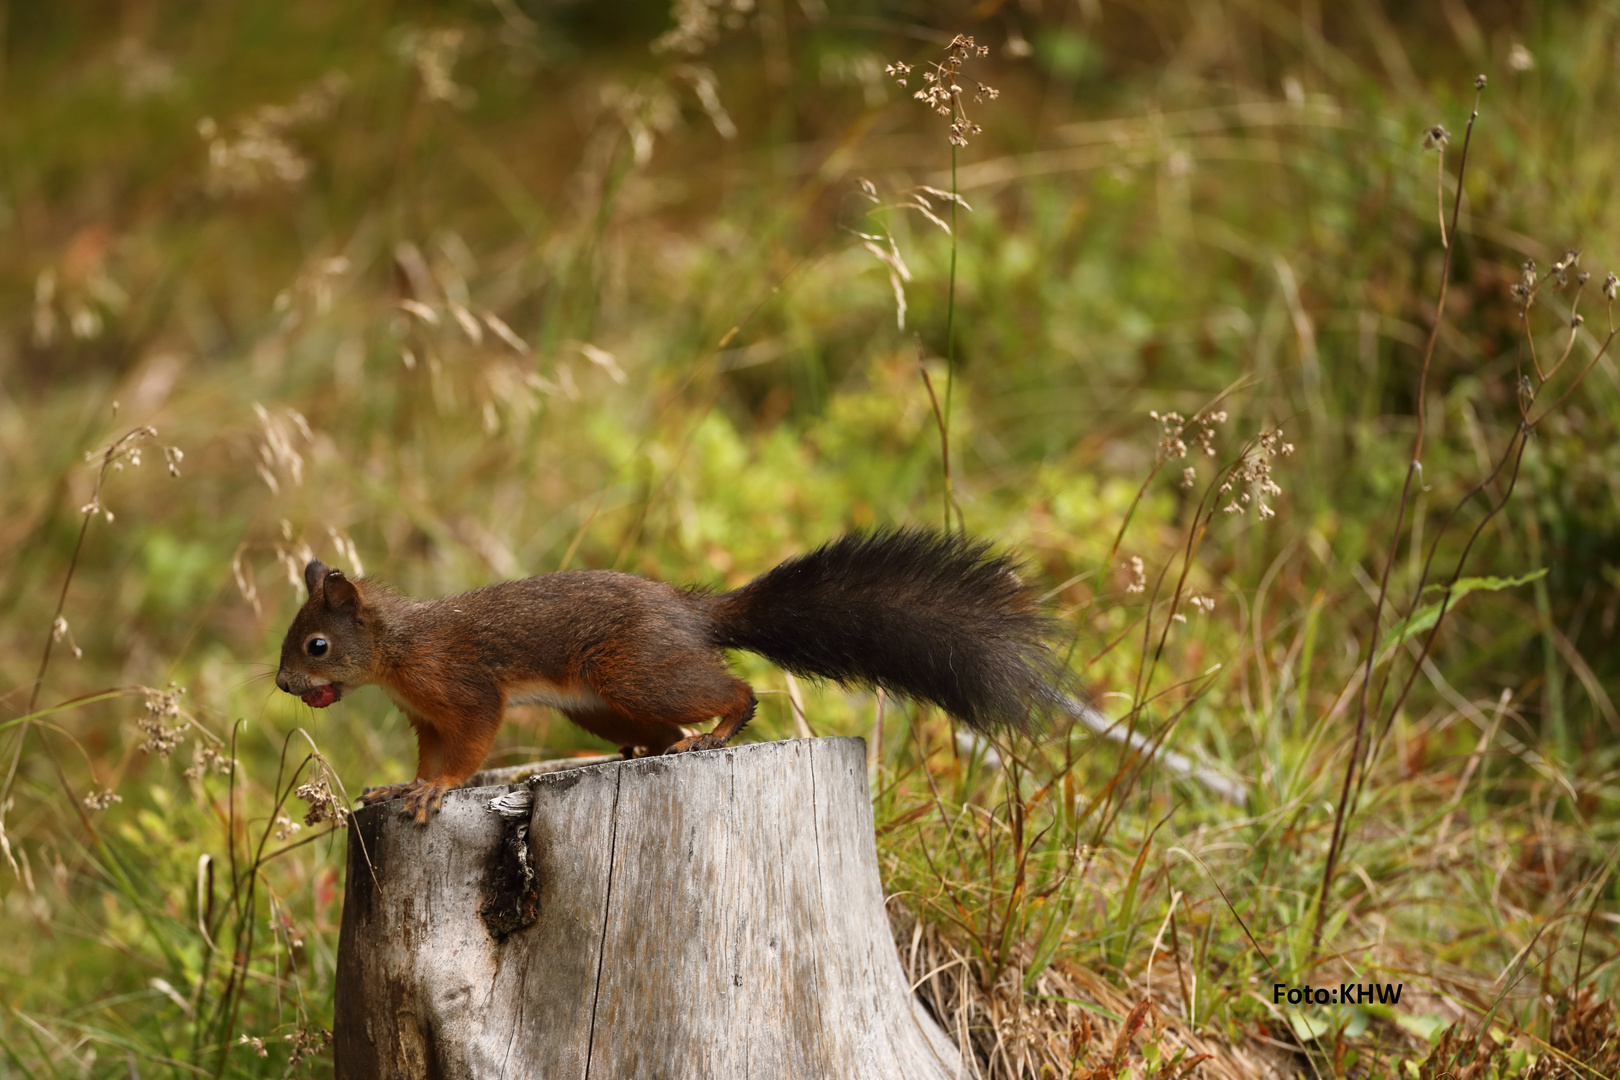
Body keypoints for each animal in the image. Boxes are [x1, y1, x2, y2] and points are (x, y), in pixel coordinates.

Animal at [275, 527, 1062, 822]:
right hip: (600, 703)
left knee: (731, 692)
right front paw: (402, 786)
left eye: (315, 645)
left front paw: (437, 790)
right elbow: (429, 755)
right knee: (657, 733)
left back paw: (715, 731)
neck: (397, 651)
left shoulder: (464, 689)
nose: (282, 686)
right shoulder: (426, 717)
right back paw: (635, 752)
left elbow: (469, 745)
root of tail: (692, 614)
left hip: (633, 670)